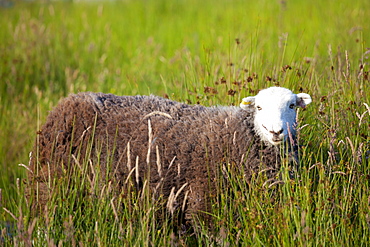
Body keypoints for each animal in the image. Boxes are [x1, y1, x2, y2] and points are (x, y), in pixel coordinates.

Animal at [27, 87, 312, 224]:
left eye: (291, 105)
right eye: (259, 107)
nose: (276, 132)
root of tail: (65, 103)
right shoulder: (204, 201)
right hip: (51, 183)